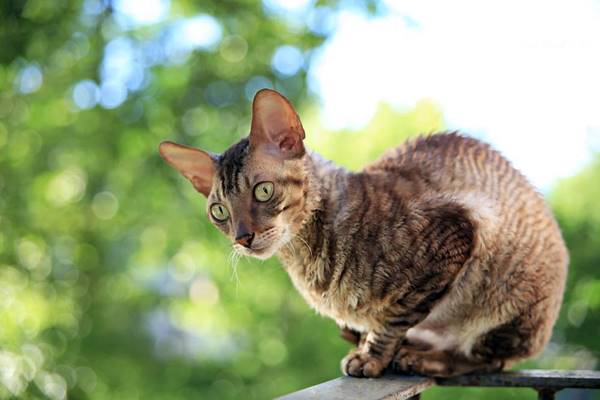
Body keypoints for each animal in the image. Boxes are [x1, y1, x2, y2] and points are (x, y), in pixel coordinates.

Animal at [158, 88, 568, 378]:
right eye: (219, 212)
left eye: (263, 191)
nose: (242, 237)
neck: (305, 262)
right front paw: (367, 342)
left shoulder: (459, 232)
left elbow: (395, 317)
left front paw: (371, 356)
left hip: (511, 302)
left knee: (489, 359)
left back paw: (424, 358)